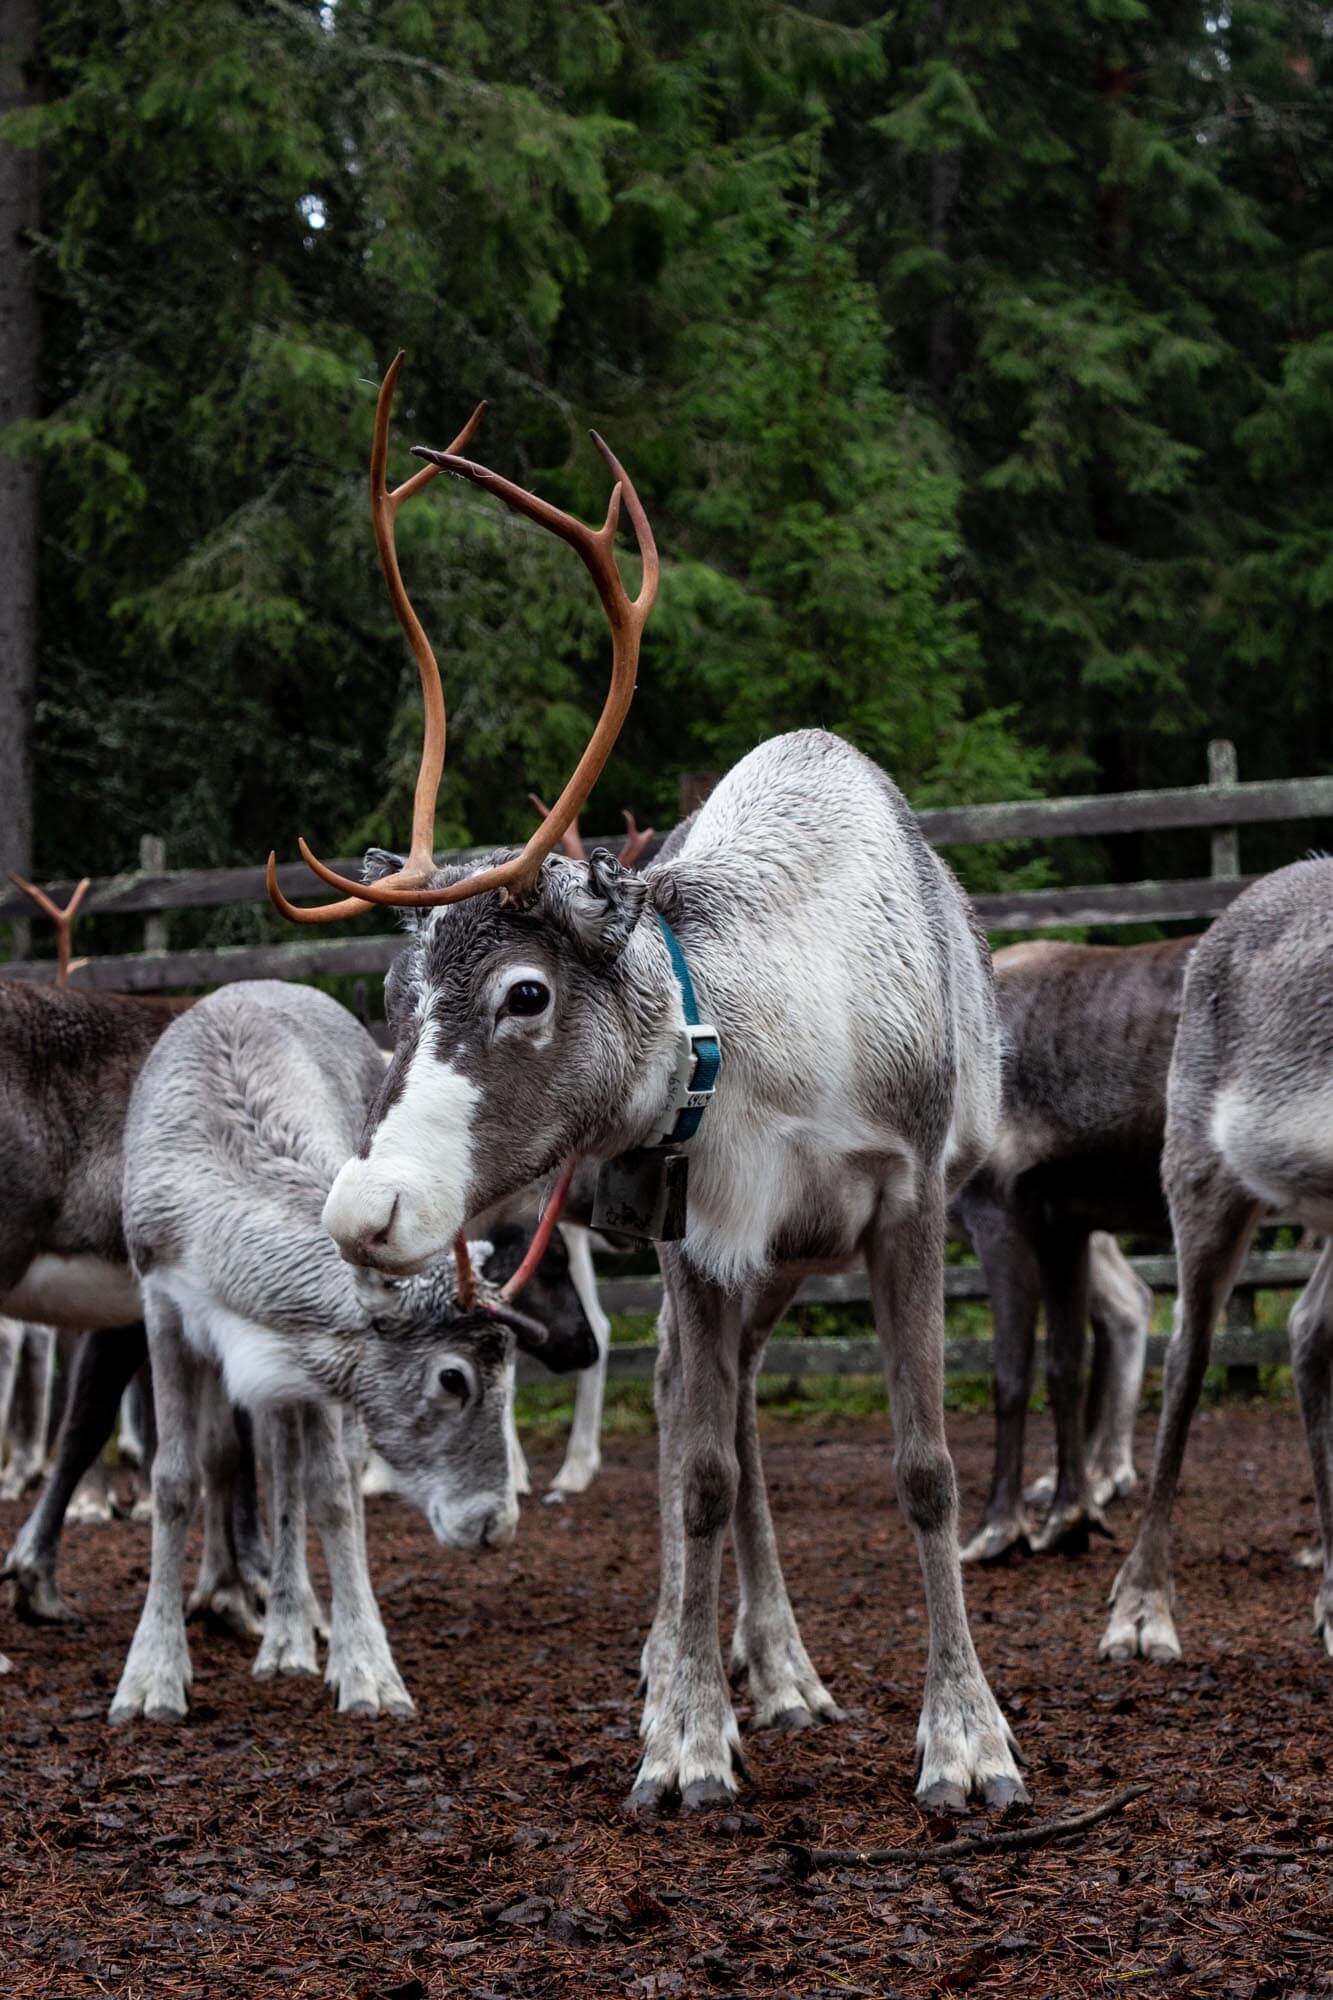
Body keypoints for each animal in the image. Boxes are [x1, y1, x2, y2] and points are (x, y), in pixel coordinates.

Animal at [110, 977, 590, 1723]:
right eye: (453, 1379)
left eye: (508, 1367)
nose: (494, 1525)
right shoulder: (163, 1306)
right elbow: (174, 1481)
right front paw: (151, 1675)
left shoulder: (313, 1362)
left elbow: (331, 1491)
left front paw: (366, 1668)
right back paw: (287, 1629)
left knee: (311, 1472)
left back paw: (299, 1629)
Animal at [257, 354, 1027, 1812]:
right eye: (393, 996)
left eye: (526, 992)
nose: (365, 1209)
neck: (774, 1048)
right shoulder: (707, 1238)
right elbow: (703, 1471)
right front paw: (684, 1735)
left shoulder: (902, 1207)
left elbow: (924, 1469)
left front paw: (968, 1741)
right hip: (722, 1261)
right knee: (696, 1422)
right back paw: (724, 1665)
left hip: (792, 1257)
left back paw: (771, 1666)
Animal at [955, 937, 1197, 1563]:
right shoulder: (1064, 1221)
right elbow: (1066, 1366)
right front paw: (1071, 1514)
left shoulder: (998, 1212)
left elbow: (1010, 1374)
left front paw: (997, 1528)